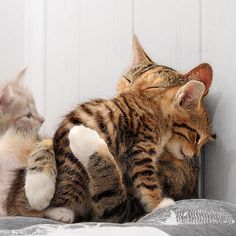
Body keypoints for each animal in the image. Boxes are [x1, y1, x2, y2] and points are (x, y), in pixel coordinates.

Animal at [6, 36, 214, 222]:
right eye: (128, 80)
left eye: (151, 87)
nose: (124, 96)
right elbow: (48, 142)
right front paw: (39, 184)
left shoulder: (119, 207)